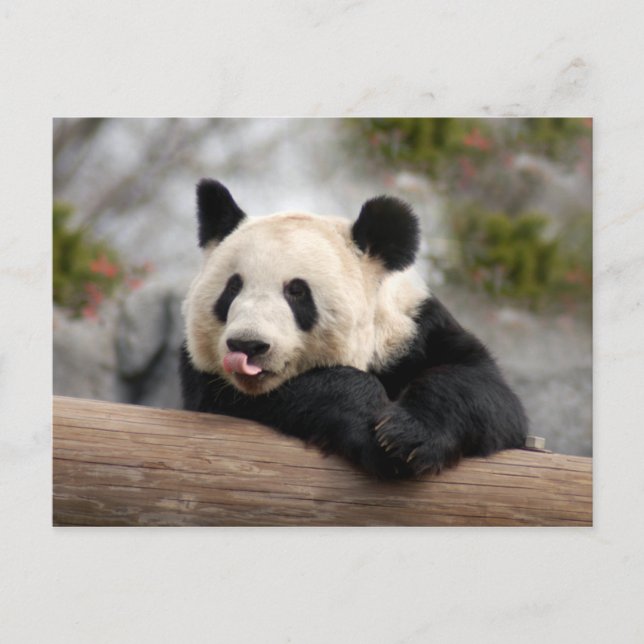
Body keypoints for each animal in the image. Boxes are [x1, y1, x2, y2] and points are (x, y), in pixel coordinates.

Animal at [180, 179, 528, 479]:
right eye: (232, 288)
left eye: (297, 291)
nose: (247, 345)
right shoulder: (210, 385)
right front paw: (370, 430)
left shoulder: (416, 331)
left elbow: (484, 389)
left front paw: (405, 438)